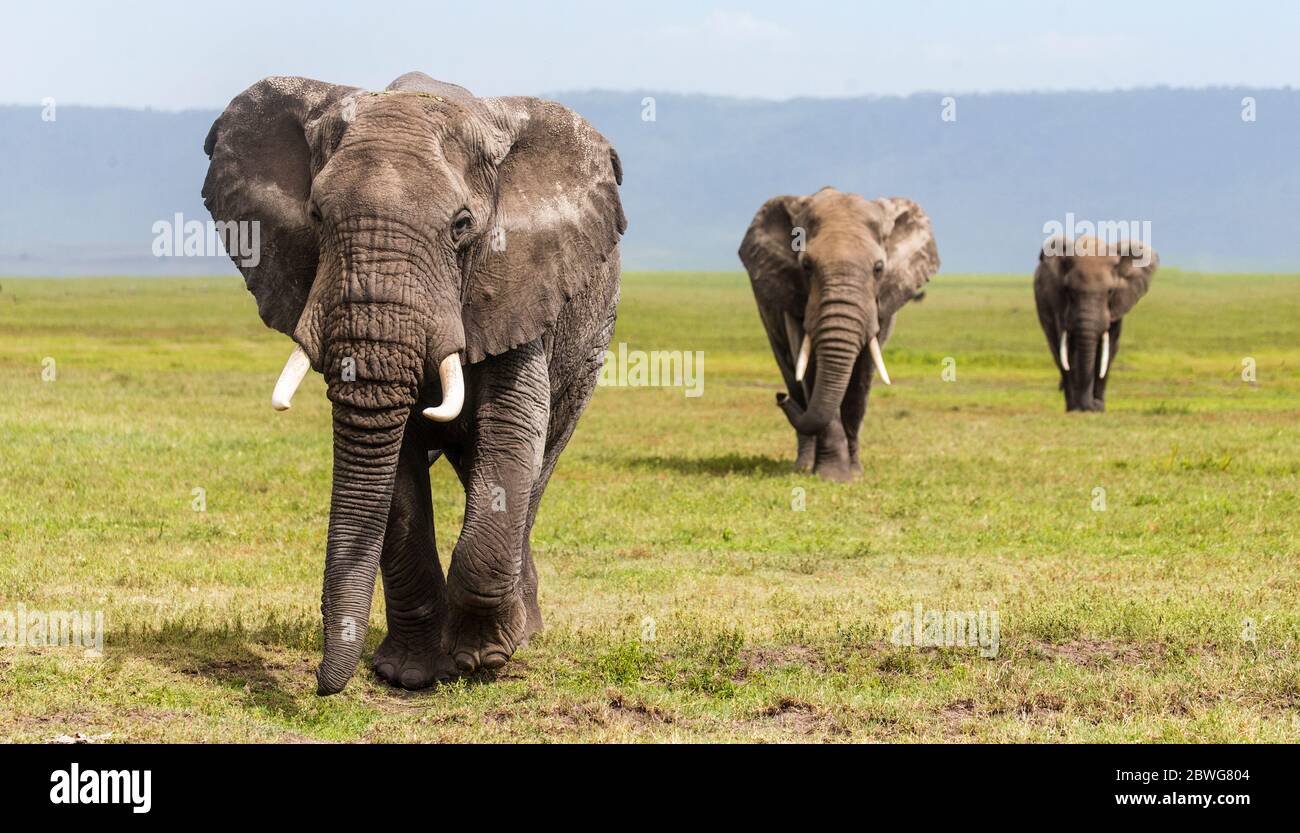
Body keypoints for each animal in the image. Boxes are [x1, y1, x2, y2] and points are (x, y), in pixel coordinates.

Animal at [200, 73, 626, 696]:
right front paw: (407, 674)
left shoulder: (516, 283)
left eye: (462, 226)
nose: (321, 684)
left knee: (537, 468)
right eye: (316, 217)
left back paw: (522, 635)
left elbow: (512, 428)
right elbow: (393, 462)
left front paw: (481, 661)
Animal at [738, 184, 941, 478]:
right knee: (790, 371)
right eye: (806, 267)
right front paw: (832, 476)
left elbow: (862, 377)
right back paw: (803, 466)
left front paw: (853, 474)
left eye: (879, 268)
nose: (778, 397)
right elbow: (810, 369)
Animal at [1034, 233, 1159, 410]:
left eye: (1110, 291)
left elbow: (1108, 350)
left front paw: (1098, 408)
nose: (1089, 406)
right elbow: (1068, 350)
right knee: (1057, 351)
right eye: (1068, 291)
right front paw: (1079, 408)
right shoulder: (1058, 302)